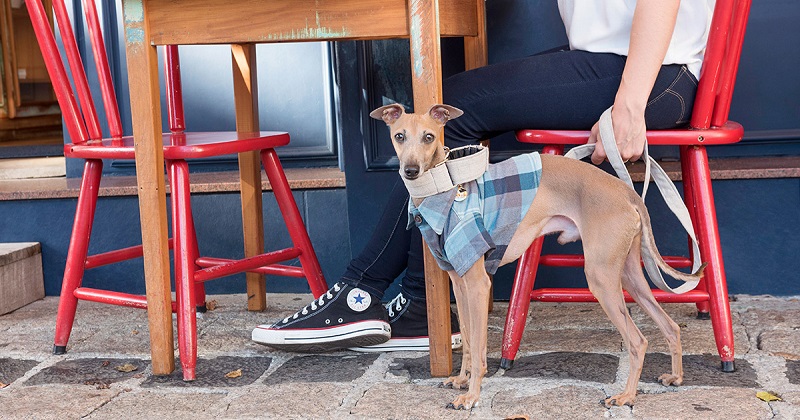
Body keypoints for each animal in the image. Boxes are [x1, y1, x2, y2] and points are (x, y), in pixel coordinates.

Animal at [370, 104, 708, 410]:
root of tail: (629, 193)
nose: (410, 170)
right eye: (399, 135)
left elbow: (478, 348)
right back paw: (675, 377)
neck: (448, 187)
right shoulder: (460, 283)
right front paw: (462, 380)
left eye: (428, 136)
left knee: (638, 340)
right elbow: (467, 337)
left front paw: (472, 396)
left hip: (601, 278)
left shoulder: (478, 285)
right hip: (628, 275)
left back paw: (626, 396)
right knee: (670, 326)